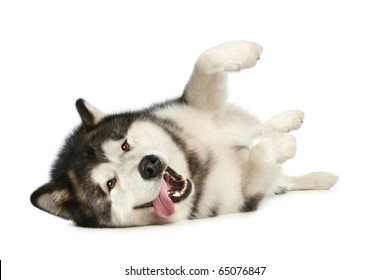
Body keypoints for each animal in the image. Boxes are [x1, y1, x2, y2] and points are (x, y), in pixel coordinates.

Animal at [30, 40, 338, 228]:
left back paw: (291, 124)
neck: (195, 160)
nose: (150, 165)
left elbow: (206, 60)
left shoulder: (199, 109)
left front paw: (247, 50)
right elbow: (260, 155)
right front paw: (282, 145)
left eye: (125, 146)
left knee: (256, 127)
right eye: (110, 184)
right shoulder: (244, 195)